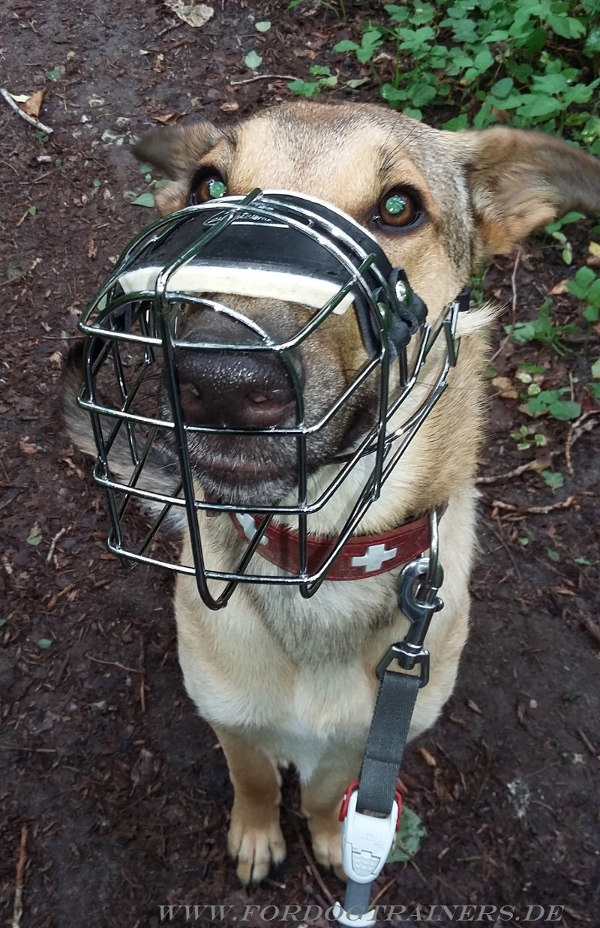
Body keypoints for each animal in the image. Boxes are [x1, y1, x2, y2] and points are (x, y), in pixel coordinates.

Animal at [64, 99, 600, 884]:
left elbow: (324, 790)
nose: (220, 382)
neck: (320, 559)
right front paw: (258, 833)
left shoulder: (367, 736)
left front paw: (327, 835)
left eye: (399, 207)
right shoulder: (229, 716)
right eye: (207, 185)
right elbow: (254, 776)